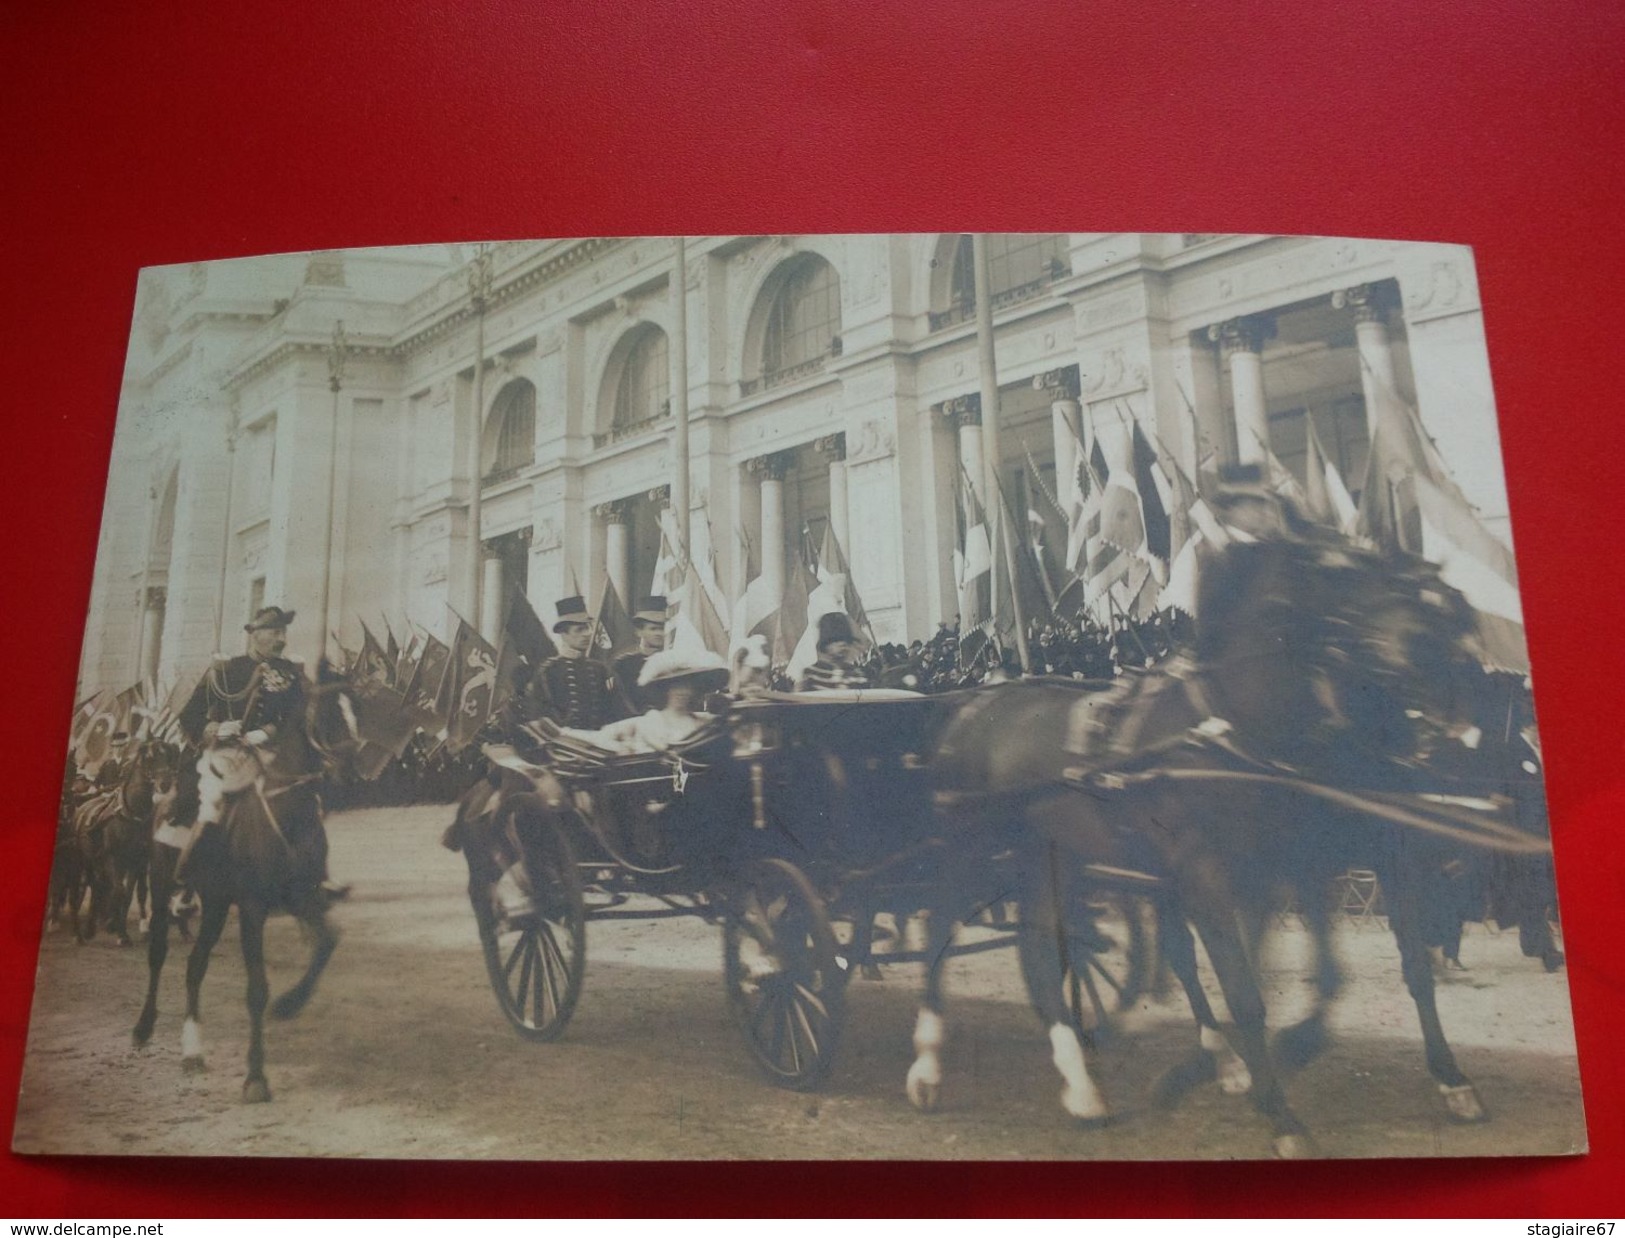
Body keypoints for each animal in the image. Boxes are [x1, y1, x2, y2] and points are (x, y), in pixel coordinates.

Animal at [910, 539, 1553, 1156]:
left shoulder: (1310, 866)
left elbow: (1354, 972)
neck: (1232, 730)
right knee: (942, 929)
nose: (1439, 656)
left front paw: (1442, 1077)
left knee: (1042, 957)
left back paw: (1089, 1089)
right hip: (970, 855)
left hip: (1052, 862)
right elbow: (1248, 992)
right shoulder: (1214, 875)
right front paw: (1279, 1111)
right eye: (1346, 578)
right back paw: (928, 1064)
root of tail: (967, 710)